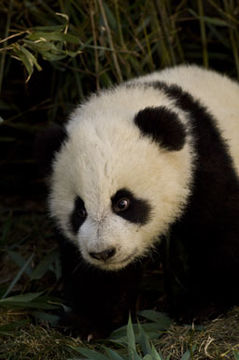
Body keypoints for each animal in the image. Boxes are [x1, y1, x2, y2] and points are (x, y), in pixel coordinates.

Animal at [42, 65, 239, 340]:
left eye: (122, 202)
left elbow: (217, 231)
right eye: (79, 210)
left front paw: (200, 305)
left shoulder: (202, 165)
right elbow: (93, 274)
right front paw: (87, 323)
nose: (103, 252)